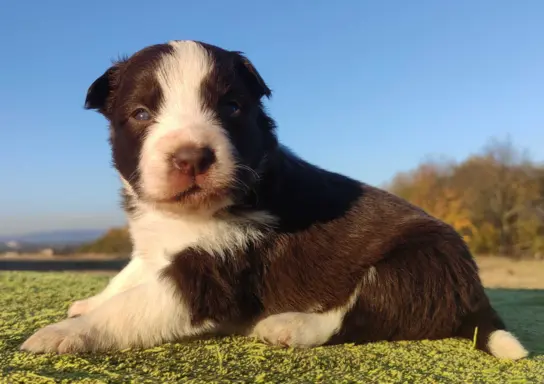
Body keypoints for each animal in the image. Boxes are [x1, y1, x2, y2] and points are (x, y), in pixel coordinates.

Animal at [21, 39, 528, 360]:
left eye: (231, 108)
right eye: (142, 114)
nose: (191, 157)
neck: (188, 216)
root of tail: (475, 292)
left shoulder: (212, 273)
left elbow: (133, 307)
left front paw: (63, 333)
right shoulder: (156, 246)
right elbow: (128, 278)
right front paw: (89, 302)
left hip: (414, 266)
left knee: (364, 313)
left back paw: (288, 325)